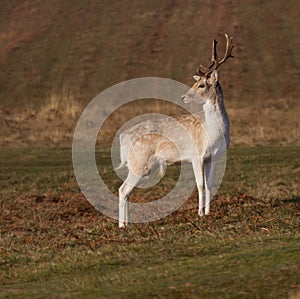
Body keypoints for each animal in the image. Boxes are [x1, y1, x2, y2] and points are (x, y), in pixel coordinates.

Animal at [116, 34, 233, 229]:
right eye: (195, 82)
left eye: (201, 85)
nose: (183, 97)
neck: (213, 133)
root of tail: (122, 137)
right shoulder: (196, 155)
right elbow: (200, 184)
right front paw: (200, 214)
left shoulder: (214, 156)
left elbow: (209, 184)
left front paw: (208, 212)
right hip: (139, 163)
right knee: (122, 189)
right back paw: (122, 226)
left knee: (127, 191)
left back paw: (128, 223)